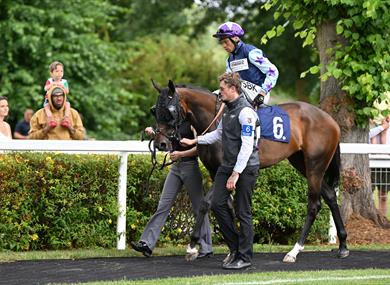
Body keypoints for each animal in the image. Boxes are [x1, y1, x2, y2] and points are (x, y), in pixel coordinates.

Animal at [151, 79, 348, 262]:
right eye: (155, 110)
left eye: (170, 111)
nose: (161, 143)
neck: (216, 121)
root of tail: (331, 120)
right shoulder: (216, 172)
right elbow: (228, 206)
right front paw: (234, 247)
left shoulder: (226, 169)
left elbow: (205, 204)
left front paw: (192, 246)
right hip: (301, 163)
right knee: (330, 195)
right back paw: (343, 245)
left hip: (315, 165)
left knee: (314, 205)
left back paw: (294, 251)